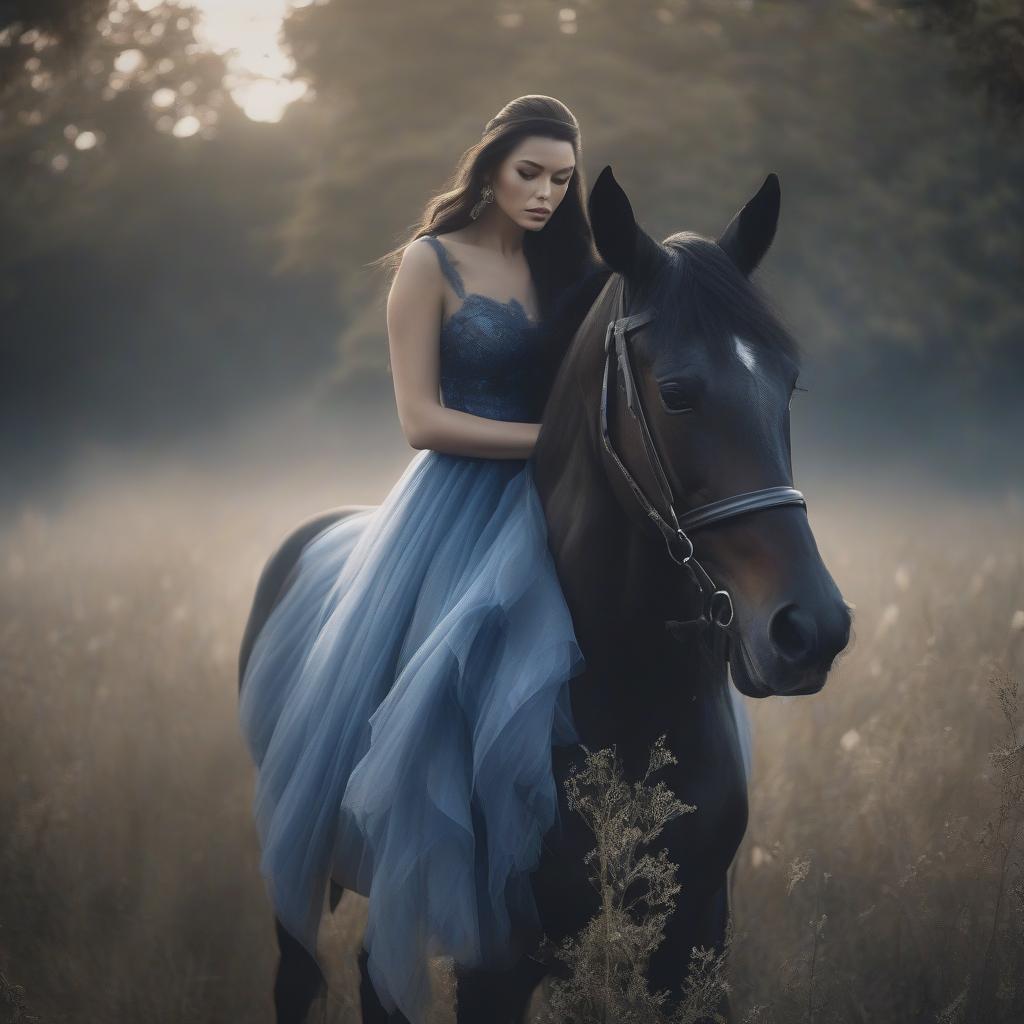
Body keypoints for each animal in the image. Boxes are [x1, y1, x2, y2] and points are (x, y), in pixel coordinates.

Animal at [237, 167, 847, 1024]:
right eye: (677, 392)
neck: (629, 696)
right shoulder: (494, 961)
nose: (811, 629)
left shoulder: (694, 942)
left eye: (788, 384)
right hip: (298, 877)